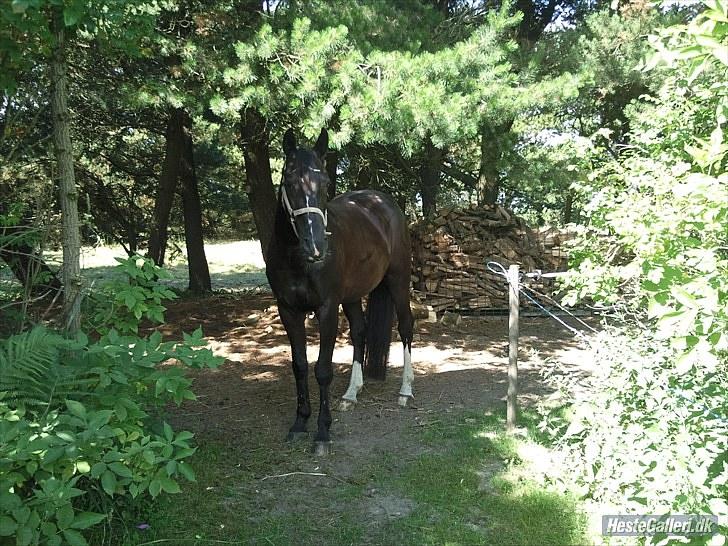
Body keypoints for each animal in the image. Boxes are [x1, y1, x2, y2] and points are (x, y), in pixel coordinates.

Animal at [266, 129, 416, 454]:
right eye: (289, 181)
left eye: (325, 183)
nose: (316, 247)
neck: (298, 260)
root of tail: (384, 202)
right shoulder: (288, 310)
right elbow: (299, 366)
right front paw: (300, 423)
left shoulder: (326, 309)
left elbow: (322, 369)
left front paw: (322, 432)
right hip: (353, 296)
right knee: (360, 331)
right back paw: (351, 394)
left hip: (398, 281)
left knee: (407, 328)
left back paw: (405, 391)